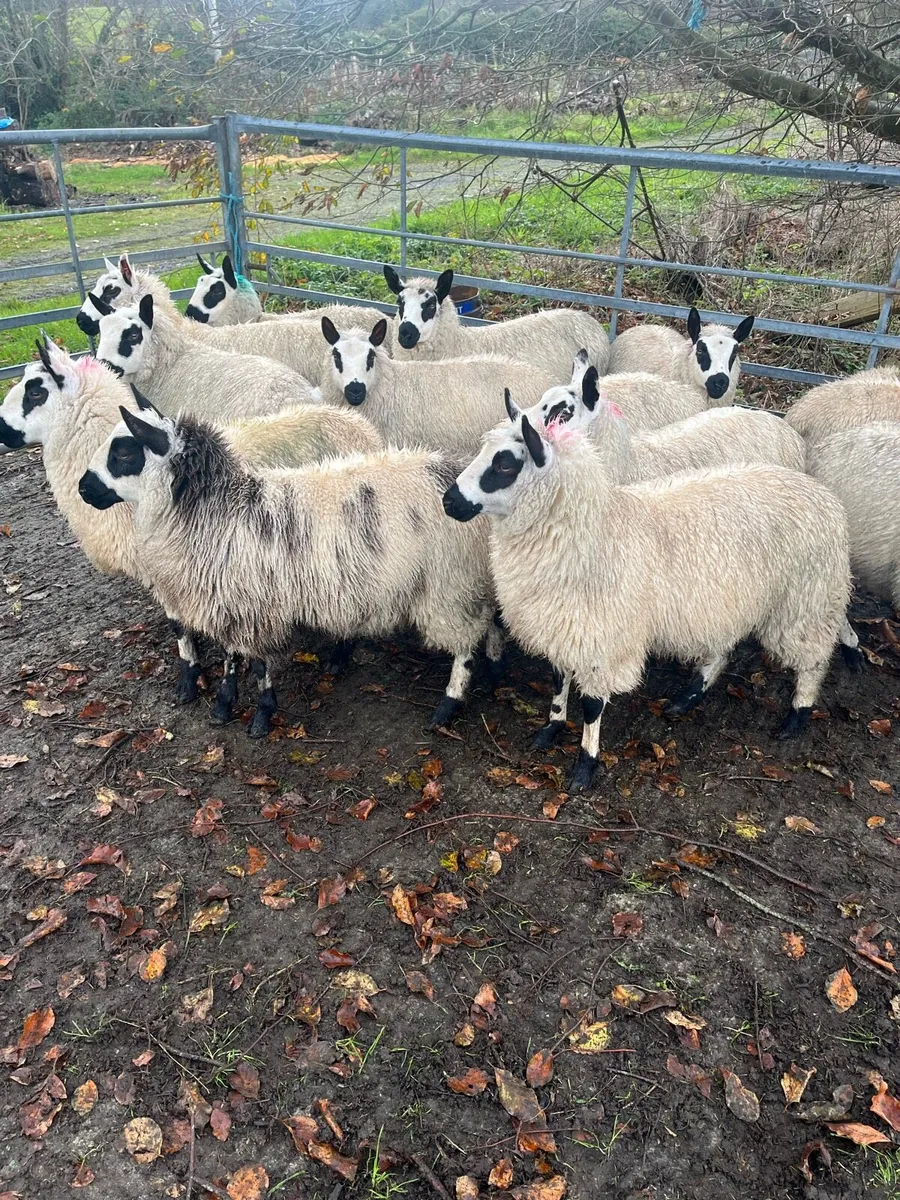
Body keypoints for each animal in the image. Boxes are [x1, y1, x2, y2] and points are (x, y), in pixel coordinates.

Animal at [1, 338, 382, 707]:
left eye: (36, 392)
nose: (84, 489)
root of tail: (357, 425)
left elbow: (195, 630)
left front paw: (208, 686)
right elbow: (185, 626)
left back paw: (339, 655)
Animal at [79, 404, 502, 737]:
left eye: (123, 452)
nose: (83, 489)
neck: (218, 511)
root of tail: (450, 470)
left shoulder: (256, 605)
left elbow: (259, 663)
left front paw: (261, 716)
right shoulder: (232, 598)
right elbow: (232, 656)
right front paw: (223, 705)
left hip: (450, 583)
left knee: (467, 643)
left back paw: (448, 705)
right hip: (466, 580)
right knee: (490, 619)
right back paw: (495, 665)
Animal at [443, 406, 857, 793]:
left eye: (505, 463)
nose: (449, 501)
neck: (597, 532)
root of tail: (821, 493)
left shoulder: (604, 639)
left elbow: (592, 705)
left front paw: (585, 765)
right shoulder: (565, 624)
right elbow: (558, 679)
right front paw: (551, 728)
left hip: (805, 600)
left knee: (813, 658)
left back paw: (796, 716)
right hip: (732, 600)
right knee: (723, 649)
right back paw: (687, 698)